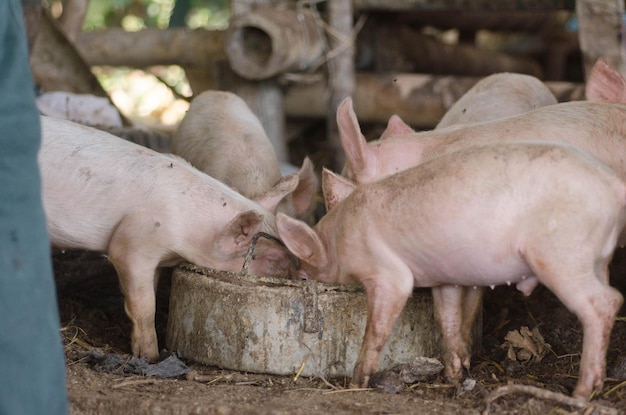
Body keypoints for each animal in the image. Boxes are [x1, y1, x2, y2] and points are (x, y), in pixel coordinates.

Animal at [276, 143, 624, 400]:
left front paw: (357, 382)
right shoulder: (444, 278)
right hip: (597, 258)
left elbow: (377, 326)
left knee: (606, 302)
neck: (337, 239)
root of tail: (613, 183)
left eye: (304, 275)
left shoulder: (385, 273)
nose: (295, 277)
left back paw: (580, 394)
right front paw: (453, 374)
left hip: (561, 253)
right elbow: (448, 319)